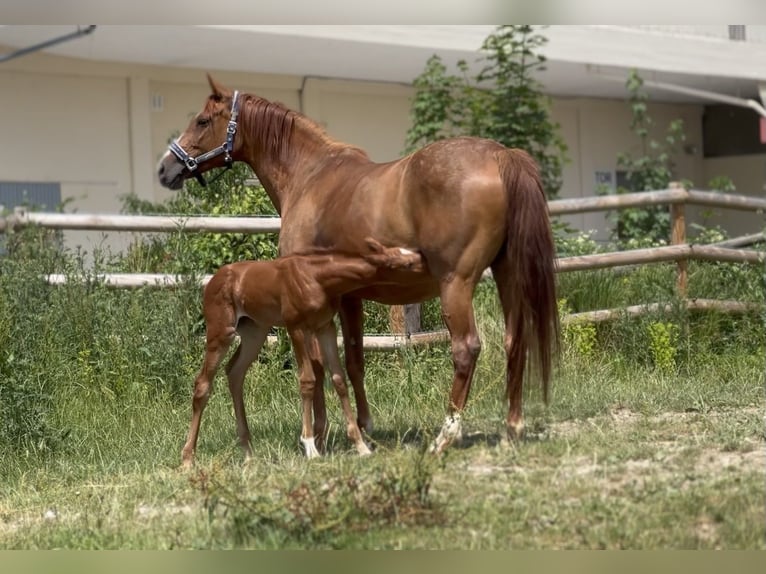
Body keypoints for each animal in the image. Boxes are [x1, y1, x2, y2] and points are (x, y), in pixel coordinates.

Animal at [181, 237, 426, 466]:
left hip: (254, 332)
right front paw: (310, 447)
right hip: (221, 332)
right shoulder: (296, 327)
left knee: (235, 372)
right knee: (203, 383)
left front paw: (361, 445)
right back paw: (187, 459)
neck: (317, 277)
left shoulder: (325, 327)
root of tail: (213, 280)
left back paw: (249, 454)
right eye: (407, 263)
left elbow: (338, 379)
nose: (429, 263)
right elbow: (307, 381)